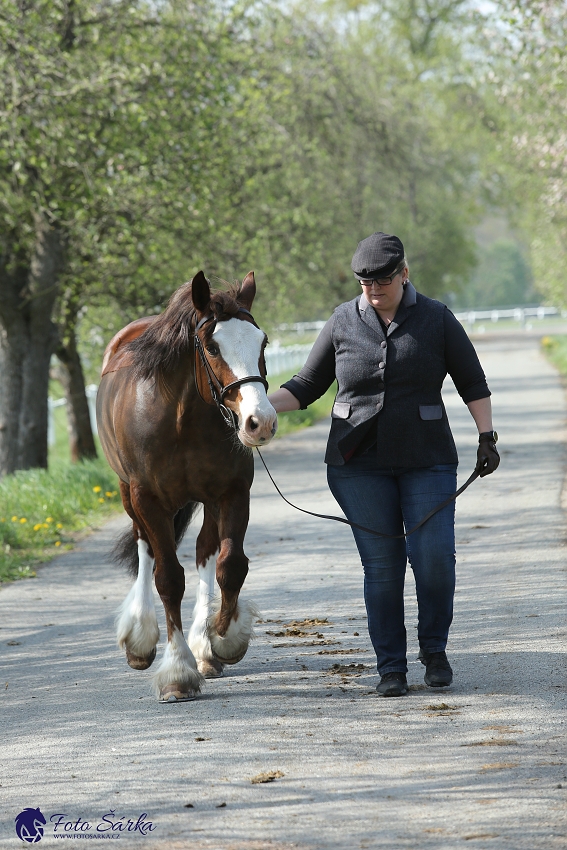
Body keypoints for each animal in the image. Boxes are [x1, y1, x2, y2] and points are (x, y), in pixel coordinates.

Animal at [97, 272, 278, 704]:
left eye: (262, 342)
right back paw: (141, 637)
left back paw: (203, 644)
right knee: (145, 548)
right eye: (212, 346)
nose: (259, 422)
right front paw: (177, 671)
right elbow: (167, 578)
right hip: (128, 493)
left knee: (205, 552)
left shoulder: (232, 493)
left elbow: (230, 565)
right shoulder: (148, 499)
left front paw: (223, 637)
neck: (182, 418)